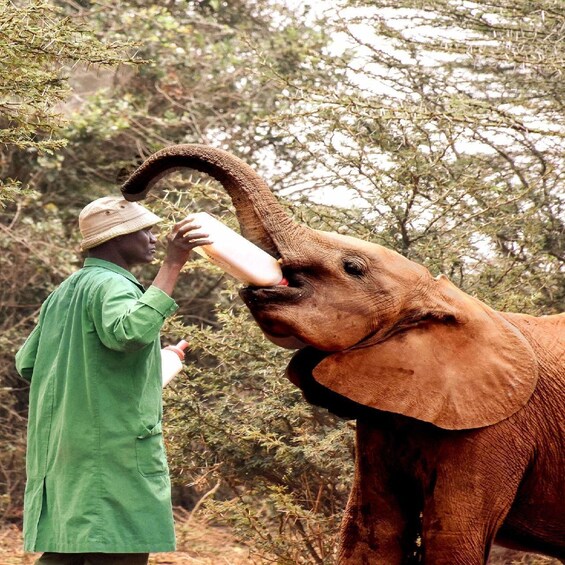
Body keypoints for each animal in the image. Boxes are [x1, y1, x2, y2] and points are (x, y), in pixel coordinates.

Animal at [122, 143, 564, 560]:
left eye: (352, 267)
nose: (131, 190)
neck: (448, 300)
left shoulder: (495, 429)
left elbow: (451, 539)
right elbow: (372, 532)